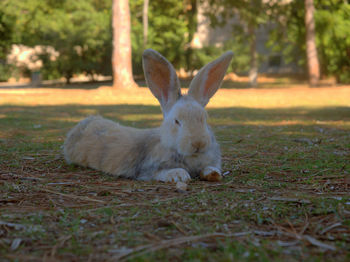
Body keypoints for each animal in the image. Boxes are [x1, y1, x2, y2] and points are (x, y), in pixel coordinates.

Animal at [63, 48, 232, 182]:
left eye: (204, 119)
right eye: (176, 121)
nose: (198, 143)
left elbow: (210, 168)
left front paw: (213, 174)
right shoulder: (148, 170)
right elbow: (162, 172)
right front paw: (179, 175)